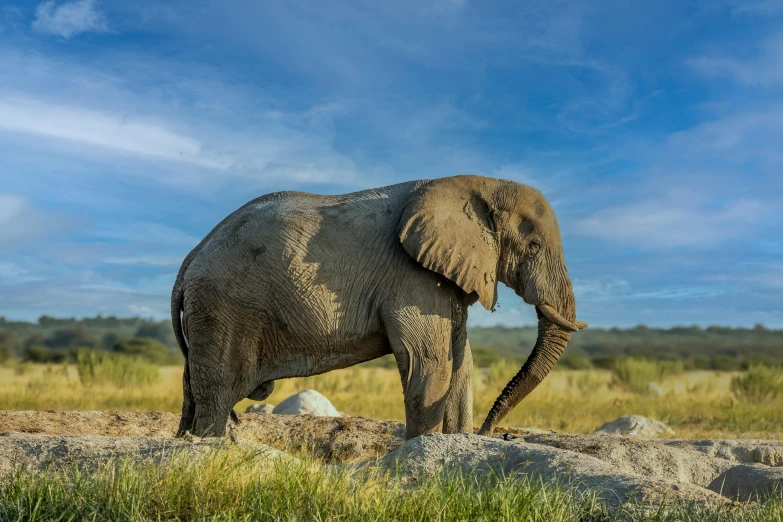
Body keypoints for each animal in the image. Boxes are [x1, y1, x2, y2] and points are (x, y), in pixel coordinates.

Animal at [173, 176, 588, 438]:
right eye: (533, 246)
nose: (492, 433)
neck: (481, 184)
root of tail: (190, 258)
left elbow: (461, 362)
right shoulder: (411, 276)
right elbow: (429, 361)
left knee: (194, 391)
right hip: (224, 307)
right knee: (215, 395)